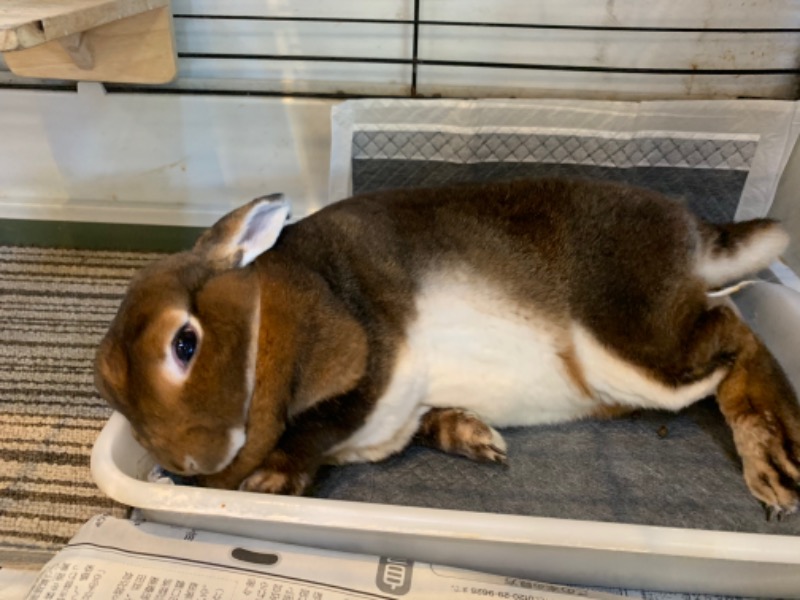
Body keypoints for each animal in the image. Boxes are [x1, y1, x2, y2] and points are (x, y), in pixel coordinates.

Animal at [95, 177, 800, 516]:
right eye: (107, 389)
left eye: (185, 343)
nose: (187, 463)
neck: (270, 310)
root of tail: (695, 235)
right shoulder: (401, 412)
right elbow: (422, 423)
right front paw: (474, 438)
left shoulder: (369, 356)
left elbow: (322, 422)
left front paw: (268, 480)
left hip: (632, 344)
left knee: (736, 336)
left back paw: (774, 467)